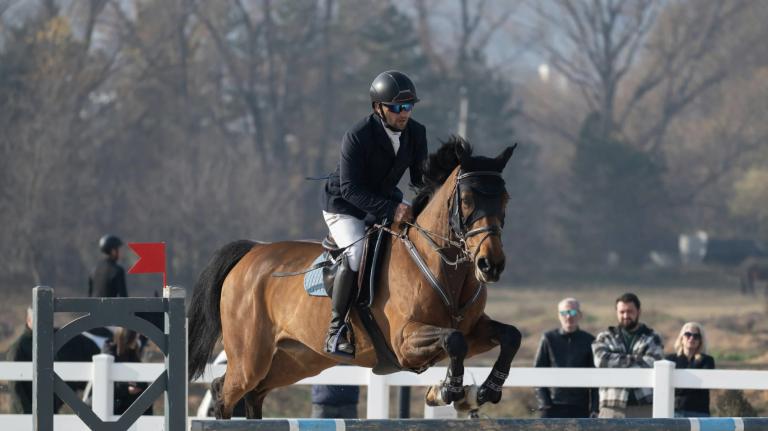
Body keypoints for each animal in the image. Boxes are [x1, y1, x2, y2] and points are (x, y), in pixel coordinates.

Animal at [187, 137, 521, 419]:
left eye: (506, 199)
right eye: (466, 199)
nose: (491, 265)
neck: (442, 266)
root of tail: (252, 252)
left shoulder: (472, 329)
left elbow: (509, 336)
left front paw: (480, 392)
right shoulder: (404, 341)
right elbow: (453, 341)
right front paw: (447, 392)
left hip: (297, 359)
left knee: (255, 393)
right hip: (250, 357)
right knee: (224, 391)